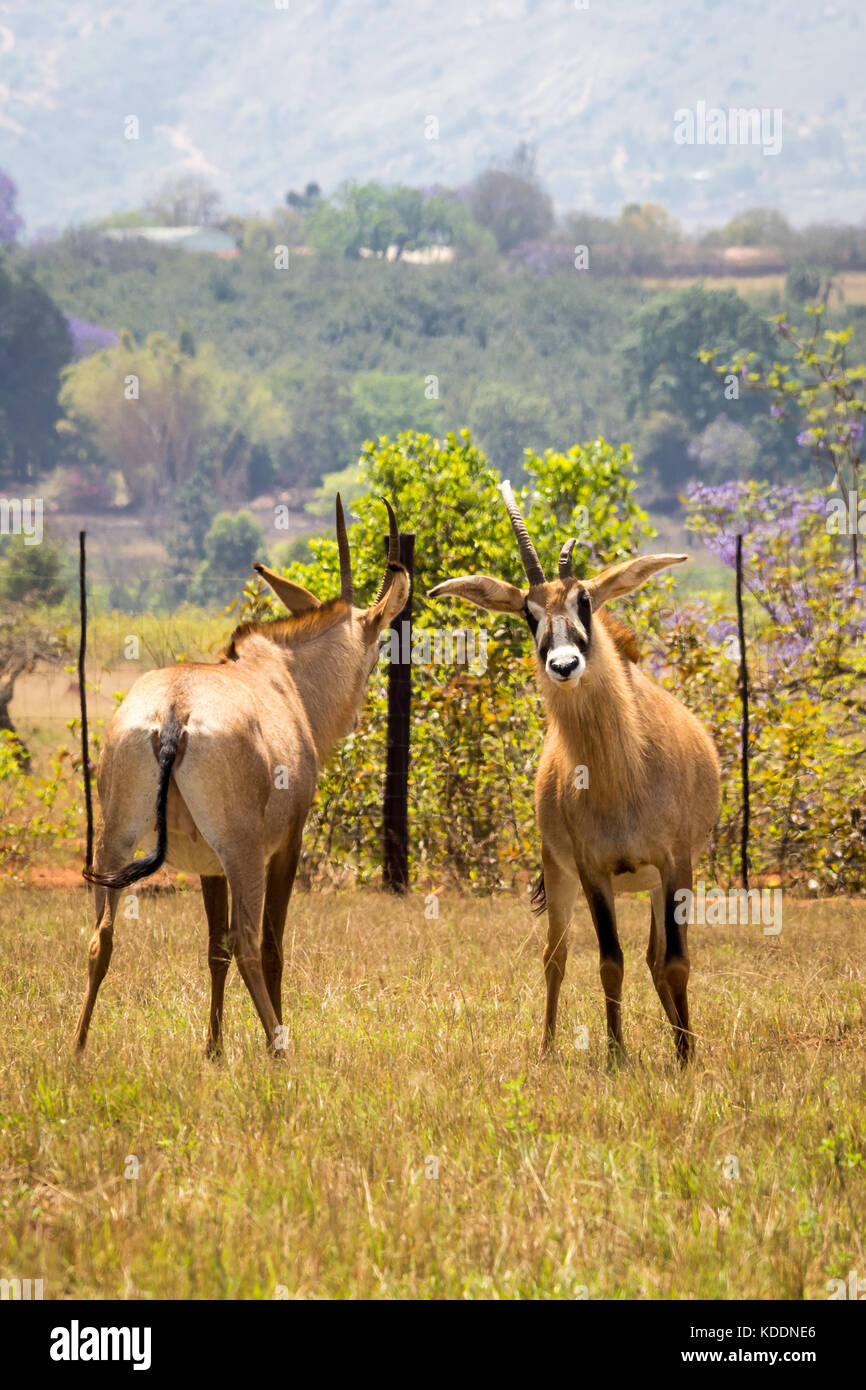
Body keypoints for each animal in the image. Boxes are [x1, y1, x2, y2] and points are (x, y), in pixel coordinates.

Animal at [75, 500, 408, 1050]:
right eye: (380, 646)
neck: (283, 678)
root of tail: (175, 710)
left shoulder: (208, 865)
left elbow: (214, 949)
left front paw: (212, 1050)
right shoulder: (287, 844)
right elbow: (270, 945)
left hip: (114, 841)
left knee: (101, 938)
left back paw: (78, 1051)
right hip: (243, 850)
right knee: (250, 942)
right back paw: (279, 1047)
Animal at [430, 486, 722, 1061]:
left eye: (585, 600)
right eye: (528, 611)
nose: (564, 665)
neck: (621, 774)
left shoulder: (676, 864)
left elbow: (676, 962)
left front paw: (686, 1057)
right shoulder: (592, 871)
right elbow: (610, 962)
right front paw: (616, 1054)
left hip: (656, 883)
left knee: (656, 958)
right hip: (561, 871)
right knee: (556, 956)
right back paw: (546, 1047)